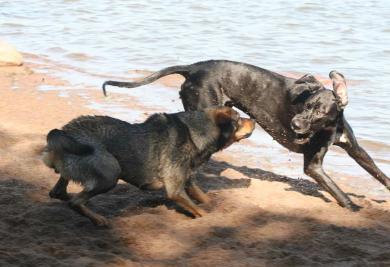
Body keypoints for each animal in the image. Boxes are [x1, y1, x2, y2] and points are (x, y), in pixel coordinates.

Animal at [42, 107, 256, 226]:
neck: (194, 132)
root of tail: (64, 131)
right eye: (238, 119)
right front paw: (212, 219)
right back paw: (99, 219)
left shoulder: (187, 181)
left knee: (58, 192)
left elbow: (205, 200)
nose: (253, 119)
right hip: (110, 173)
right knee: (75, 201)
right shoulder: (175, 190)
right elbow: (202, 211)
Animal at [103, 60, 390, 211]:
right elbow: (335, 189)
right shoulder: (313, 166)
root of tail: (193, 67)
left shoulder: (355, 149)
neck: (328, 127)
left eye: (318, 111)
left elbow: (378, 172)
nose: (295, 124)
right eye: (305, 106)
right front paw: (355, 208)